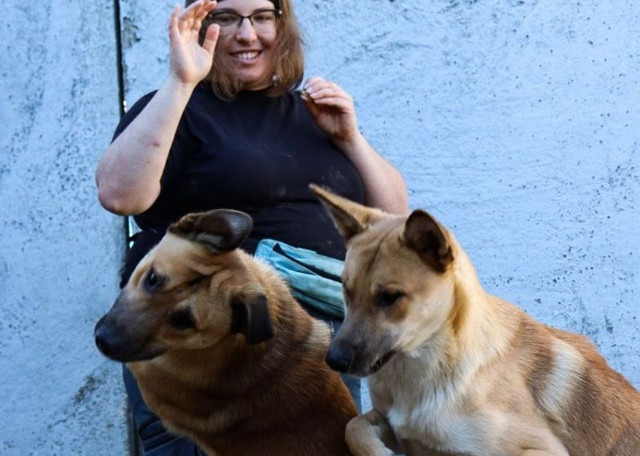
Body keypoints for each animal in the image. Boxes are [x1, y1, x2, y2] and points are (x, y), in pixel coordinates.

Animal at [310, 184, 640, 456]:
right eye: (345, 288)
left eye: (390, 297)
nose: (333, 360)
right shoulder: (394, 425)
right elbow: (353, 427)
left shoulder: (541, 450)